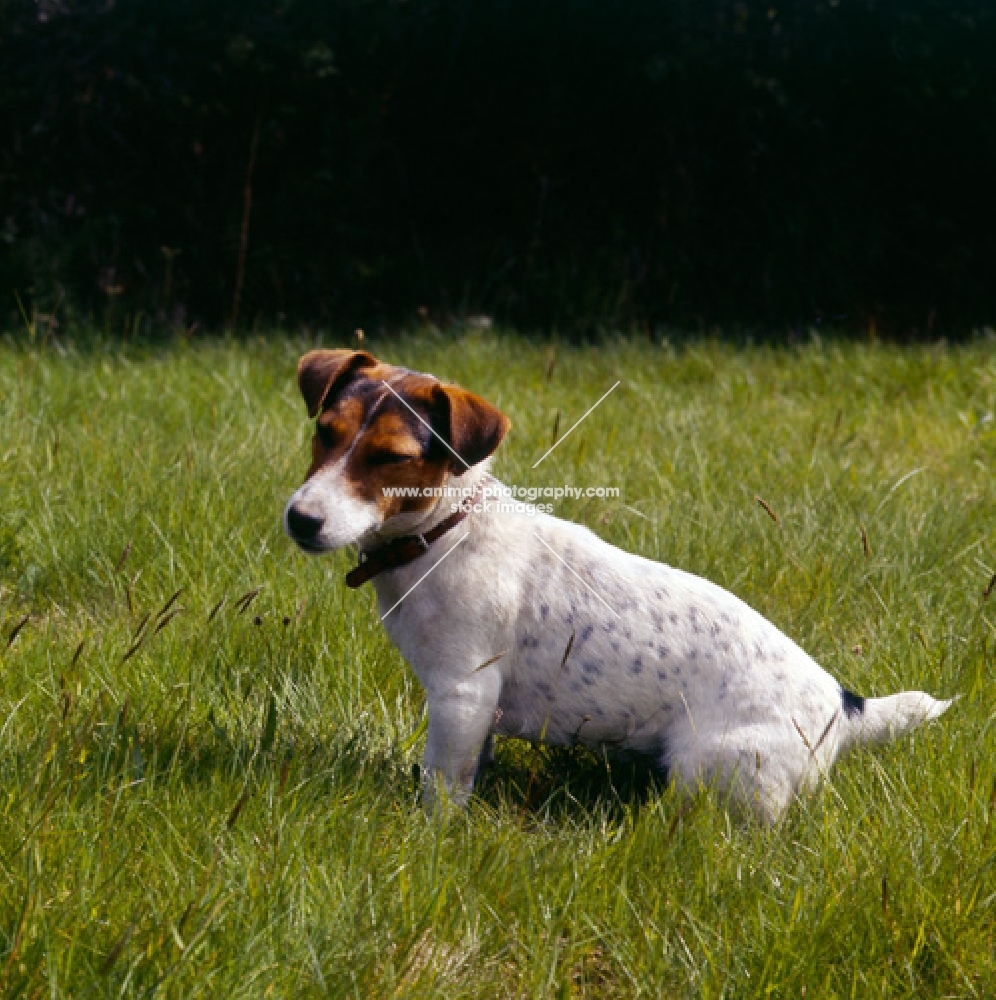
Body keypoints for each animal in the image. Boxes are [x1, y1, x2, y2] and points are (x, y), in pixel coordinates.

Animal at [282, 350, 948, 820]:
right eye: (325, 432)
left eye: (391, 457)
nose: (300, 520)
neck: (447, 530)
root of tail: (842, 704)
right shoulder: (474, 711)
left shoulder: (460, 693)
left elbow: (442, 789)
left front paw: (433, 836)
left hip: (711, 767)